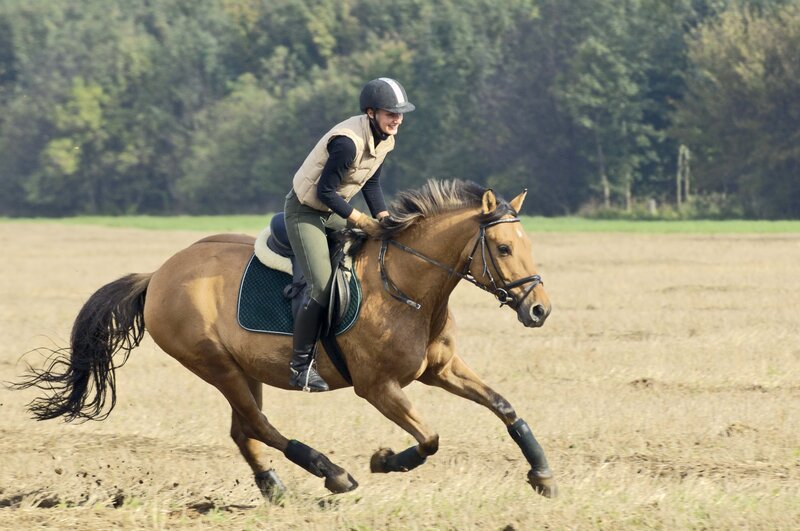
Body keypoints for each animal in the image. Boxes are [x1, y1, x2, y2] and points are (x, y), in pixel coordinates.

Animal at [15, 179, 556, 500]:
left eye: (528, 244)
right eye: (502, 248)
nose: (539, 309)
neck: (409, 286)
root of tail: (159, 275)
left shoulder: (441, 370)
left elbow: (505, 407)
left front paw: (542, 474)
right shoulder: (378, 388)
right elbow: (429, 439)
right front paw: (383, 461)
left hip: (241, 369)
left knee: (243, 429)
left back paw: (273, 485)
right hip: (215, 365)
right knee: (258, 424)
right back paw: (331, 472)